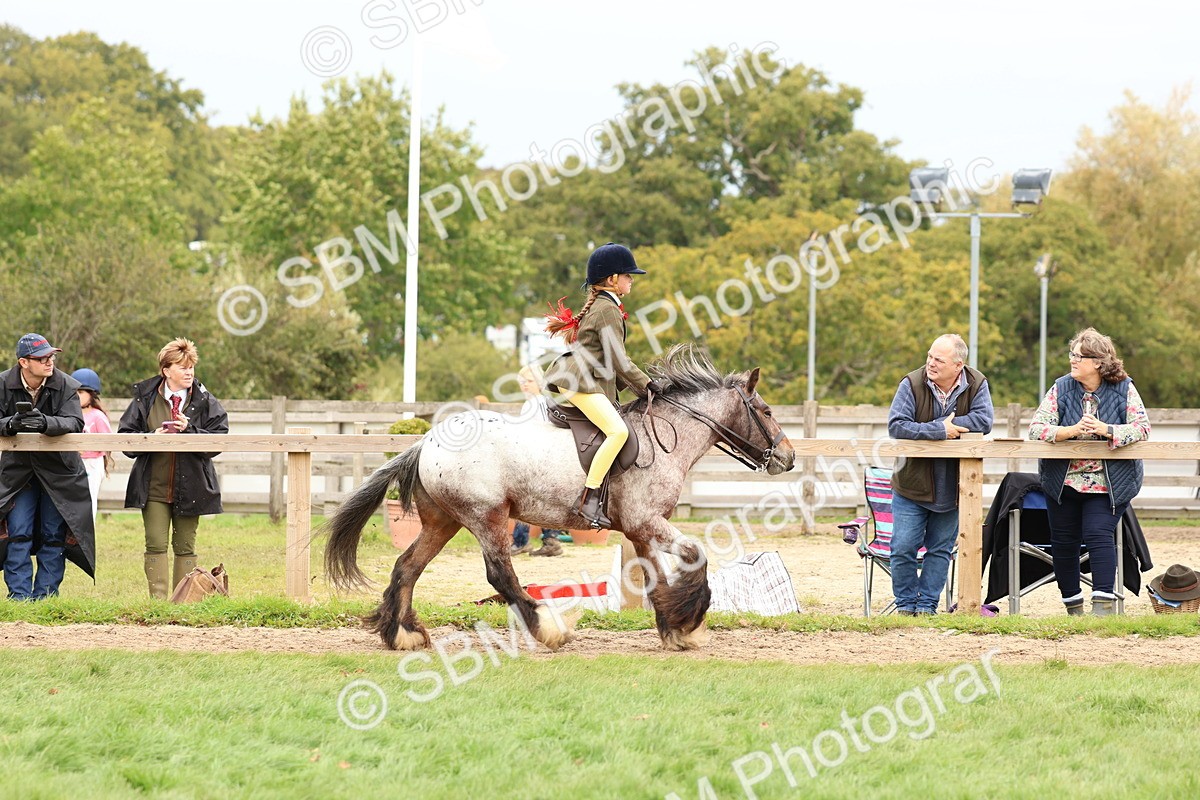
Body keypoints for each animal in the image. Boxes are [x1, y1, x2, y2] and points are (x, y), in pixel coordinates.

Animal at [324, 343, 796, 652]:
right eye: (767, 411)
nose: (788, 458)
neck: (666, 436)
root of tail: (426, 441)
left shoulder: (639, 529)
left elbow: (656, 578)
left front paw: (676, 629)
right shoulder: (647, 522)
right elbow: (696, 554)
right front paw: (689, 621)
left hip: (444, 521)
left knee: (407, 567)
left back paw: (402, 635)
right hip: (486, 517)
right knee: (500, 576)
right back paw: (547, 630)